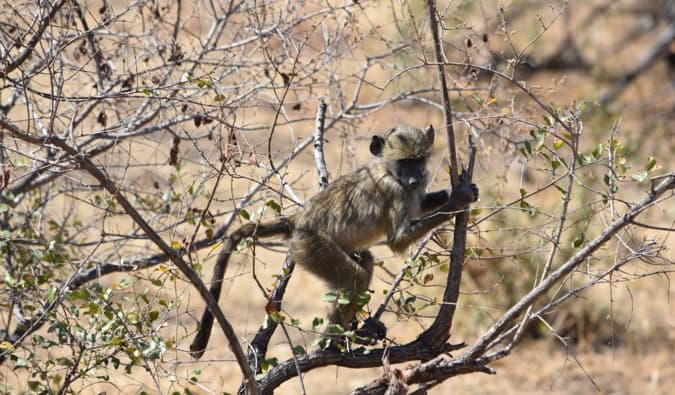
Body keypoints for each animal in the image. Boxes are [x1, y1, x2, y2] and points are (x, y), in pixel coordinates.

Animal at [187, 126, 478, 358]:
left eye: (419, 160)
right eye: (404, 161)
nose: (415, 178)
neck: (389, 170)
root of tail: (299, 220)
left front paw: (457, 192)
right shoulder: (395, 190)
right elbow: (398, 240)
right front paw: (459, 199)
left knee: (365, 263)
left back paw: (355, 331)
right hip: (310, 247)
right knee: (354, 278)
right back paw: (332, 343)